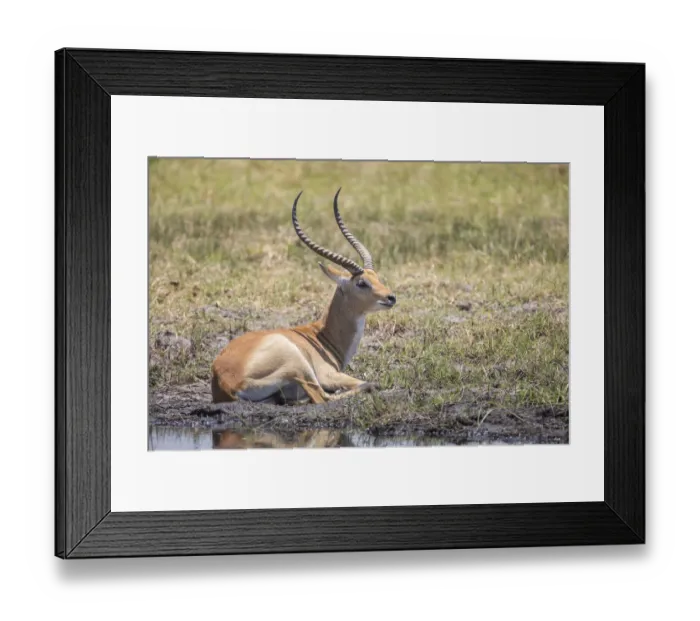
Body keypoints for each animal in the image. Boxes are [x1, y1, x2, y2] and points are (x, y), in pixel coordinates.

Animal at [211, 188, 397, 405]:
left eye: (376, 277)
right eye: (361, 283)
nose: (391, 297)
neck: (321, 336)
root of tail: (227, 383)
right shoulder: (329, 375)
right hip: (299, 364)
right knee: (324, 396)